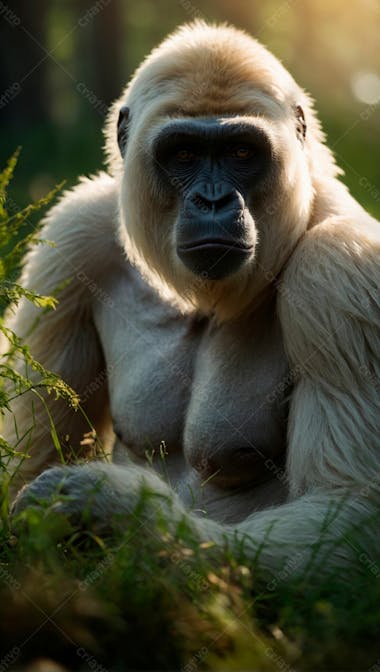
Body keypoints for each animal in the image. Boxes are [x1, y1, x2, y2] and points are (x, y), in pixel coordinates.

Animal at [3, 21, 380, 576]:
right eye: (183, 154)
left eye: (242, 153)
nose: (213, 201)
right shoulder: (74, 236)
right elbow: (27, 469)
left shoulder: (340, 270)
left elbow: (351, 505)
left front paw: (115, 510)